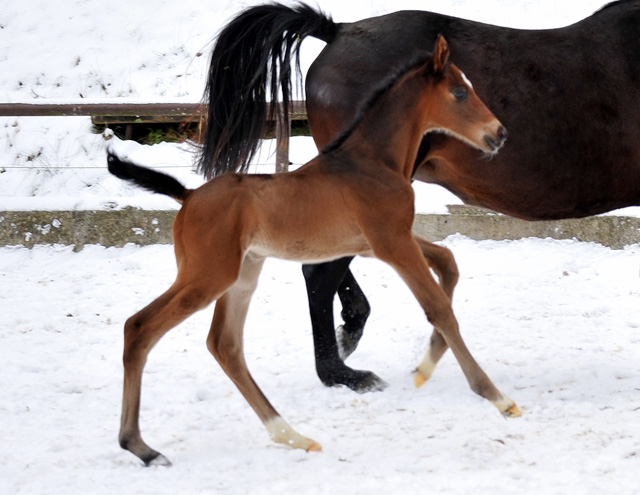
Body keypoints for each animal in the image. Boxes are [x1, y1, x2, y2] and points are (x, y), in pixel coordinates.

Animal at [109, 36, 516, 466]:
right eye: (459, 92)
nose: (499, 133)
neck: (372, 162)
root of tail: (187, 196)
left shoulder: (378, 242)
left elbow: (448, 265)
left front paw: (425, 367)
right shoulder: (391, 242)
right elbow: (439, 307)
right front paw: (497, 397)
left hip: (242, 275)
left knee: (225, 344)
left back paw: (291, 435)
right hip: (208, 276)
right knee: (139, 328)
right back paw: (142, 447)